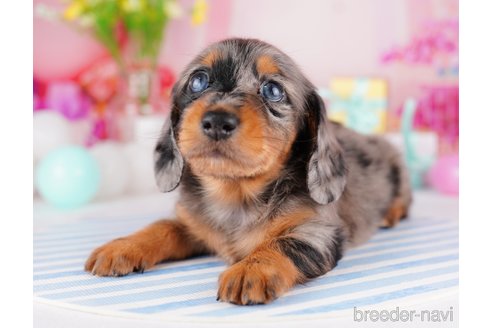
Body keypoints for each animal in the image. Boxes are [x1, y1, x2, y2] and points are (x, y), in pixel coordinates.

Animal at [85, 37, 412, 304]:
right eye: (198, 81)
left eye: (273, 90)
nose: (217, 121)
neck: (235, 194)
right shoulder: (192, 226)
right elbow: (161, 227)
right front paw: (124, 246)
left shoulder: (318, 232)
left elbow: (282, 243)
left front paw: (252, 268)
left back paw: (391, 213)